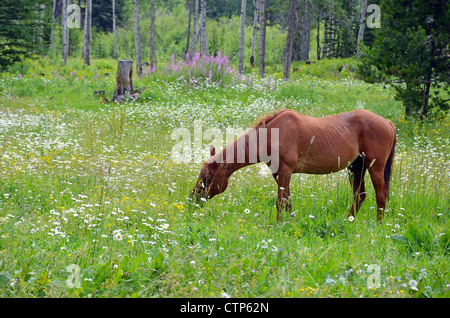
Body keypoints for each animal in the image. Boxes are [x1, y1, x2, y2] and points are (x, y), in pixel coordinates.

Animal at [192, 109, 396, 221]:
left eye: (207, 178)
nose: (193, 199)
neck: (270, 135)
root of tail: (388, 122)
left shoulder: (285, 171)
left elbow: (280, 201)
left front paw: (278, 224)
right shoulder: (279, 174)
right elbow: (287, 200)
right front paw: (290, 222)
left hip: (375, 168)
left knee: (381, 195)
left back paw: (378, 225)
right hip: (356, 167)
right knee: (359, 195)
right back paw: (348, 221)